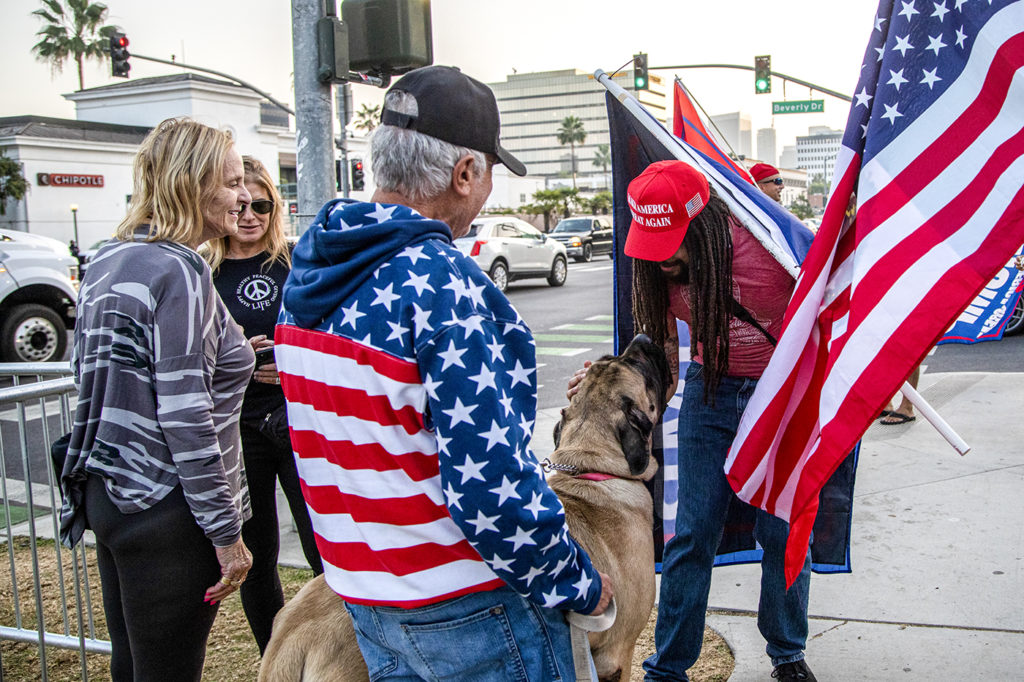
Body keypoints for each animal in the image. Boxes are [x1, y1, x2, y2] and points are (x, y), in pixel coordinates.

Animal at [260, 333, 667, 679]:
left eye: (615, 358)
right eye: (638, 366)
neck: (589, 465)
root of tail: (291, 636)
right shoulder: (615, 654)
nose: (643, 338)